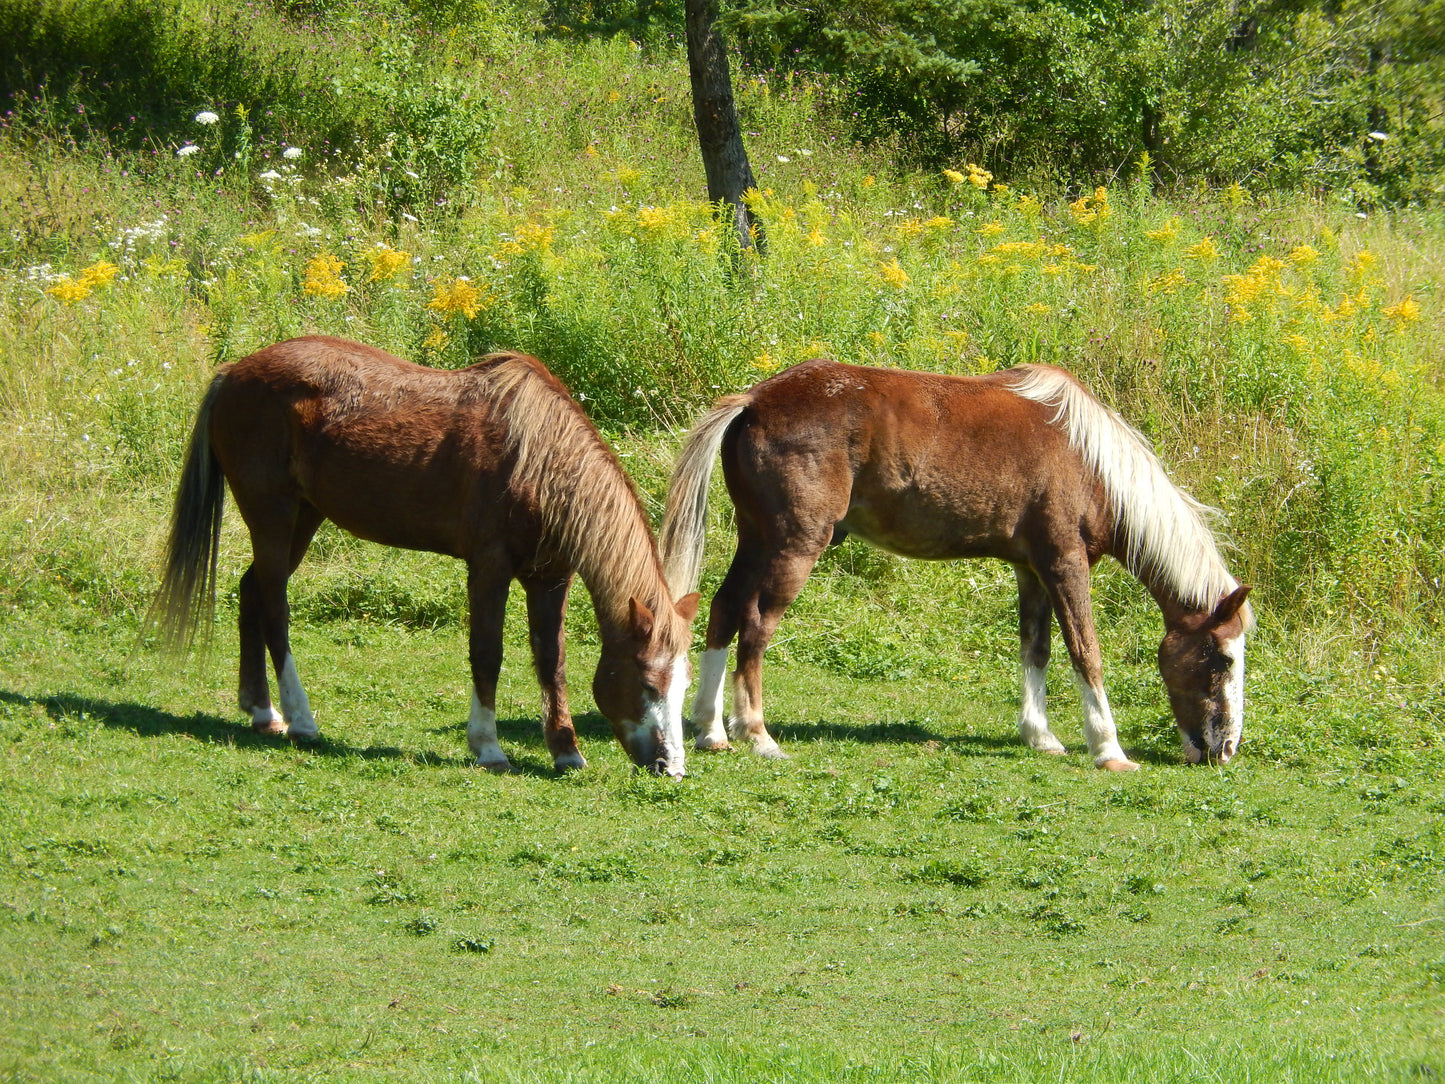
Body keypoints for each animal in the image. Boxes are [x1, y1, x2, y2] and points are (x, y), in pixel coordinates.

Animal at [152, 336, 699, 776]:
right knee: (274, 609)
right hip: (273, 515)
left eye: (682, 686)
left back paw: (261, 711)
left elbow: (551, 661)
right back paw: (300, 718)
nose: (672, 767)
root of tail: (233, 372)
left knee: (251, 592)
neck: (539, 461)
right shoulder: (489, 568)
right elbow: (487, 653)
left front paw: (566, 751)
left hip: (303, 519)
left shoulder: (550, 578)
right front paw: (488, 747)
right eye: (648, 683)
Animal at [659, 359, 1254, 770]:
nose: (1225, 749)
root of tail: (755, 399)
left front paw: (1040, 736)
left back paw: (711, 729)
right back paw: (756, 733)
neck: (1089, 461)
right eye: (1222, 659)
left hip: (757, 539)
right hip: (794, 546)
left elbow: (1035, 650)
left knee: (724, 608)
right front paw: (1109, 749)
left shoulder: (1031, 570)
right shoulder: (1065, 564)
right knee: (756, 624)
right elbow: (1086, 653)